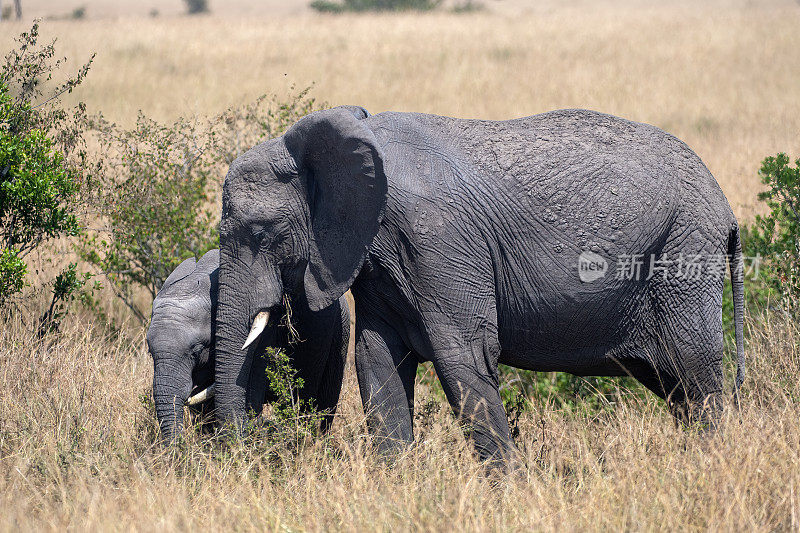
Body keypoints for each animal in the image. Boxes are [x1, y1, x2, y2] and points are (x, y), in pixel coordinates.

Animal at [212, 106, 744, 464]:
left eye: (261, 233)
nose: (245, 456)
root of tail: (727, 209)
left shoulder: (438, 240)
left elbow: (463, 356)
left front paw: (511, 493)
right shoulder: (375, 261)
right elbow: (376, 359)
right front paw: (398, 488)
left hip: (683, 251)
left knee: (694, 372)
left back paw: (709, 466)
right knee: (677, 386)